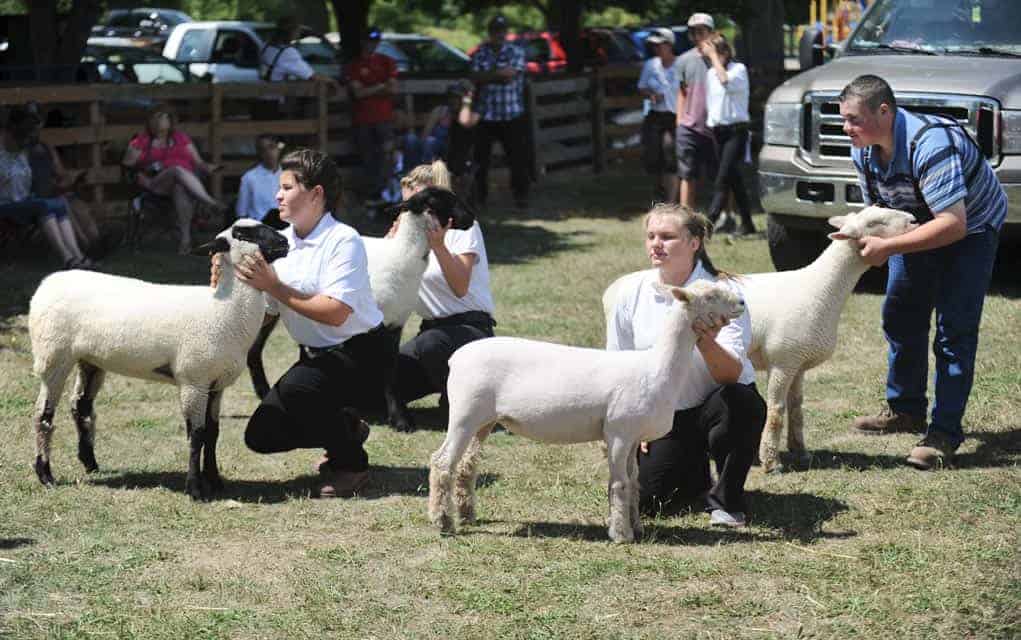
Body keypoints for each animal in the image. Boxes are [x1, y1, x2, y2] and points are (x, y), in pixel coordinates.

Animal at [28, 219, 289, 500]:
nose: (285, 243)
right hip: (53, 355)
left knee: (81, 406)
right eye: (243, 234)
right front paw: (195, 488)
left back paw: (90, 463)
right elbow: (196, 435)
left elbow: (213, 433)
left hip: (89, 359)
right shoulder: (193, 381)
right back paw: (45, 474)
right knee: (43, 415)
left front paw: (214, 480)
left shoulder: (216, 384)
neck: (223, 310)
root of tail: (48, 283)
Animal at [246, 186, 476, 433]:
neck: (401, 255)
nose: (471, 219)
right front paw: (398, 419)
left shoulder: (395, 322)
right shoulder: (369, 323)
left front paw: (391, 413)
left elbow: (389, 369)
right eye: (444, 201)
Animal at [428, 279, 746, 543]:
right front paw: (621, 534)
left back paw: (467, 515)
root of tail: (457, 357)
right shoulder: (618, 432)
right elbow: (619, 484)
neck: (656, 366)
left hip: (484, 419)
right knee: (442, 462)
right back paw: (443, 522)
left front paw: (636, 526)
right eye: (710, 296)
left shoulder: (632, 436)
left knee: (466, 465)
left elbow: (633, 482)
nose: (742, 303)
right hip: (464, 412)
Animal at [602, 206, 918, 473]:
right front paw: (771, 462)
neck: (821, 289)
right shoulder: (783, 360)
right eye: (874, 223)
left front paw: (800, 451)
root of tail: (614, 286)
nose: (914, 221)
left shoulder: (798, 361)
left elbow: (797, 408)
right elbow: (777, 412)